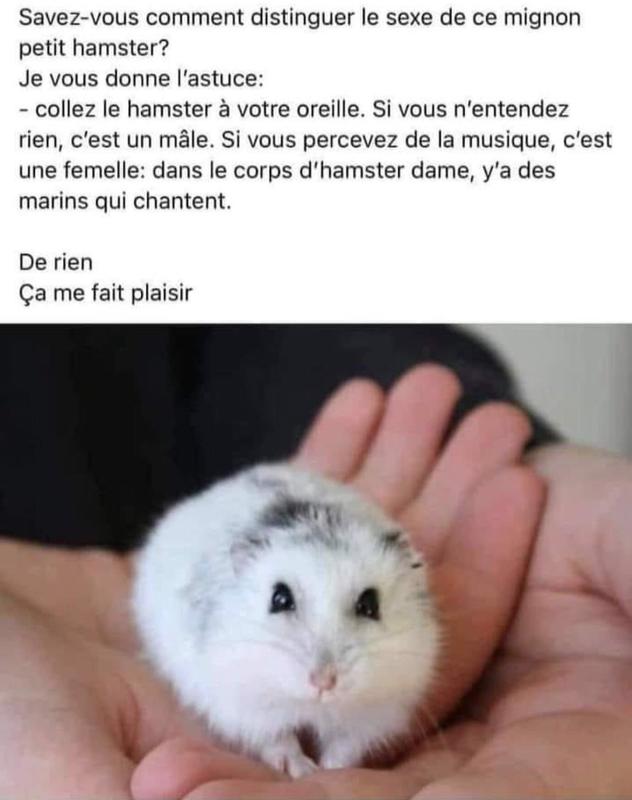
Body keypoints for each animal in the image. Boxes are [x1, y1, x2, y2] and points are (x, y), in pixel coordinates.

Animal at [132, 463, 440, 778]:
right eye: (279, 599)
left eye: (369, 604)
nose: (324, 682)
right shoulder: (244, 707)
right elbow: (279, 741)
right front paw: (303, 770)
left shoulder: (374, 713)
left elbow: (344, 745)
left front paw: (330, 769)